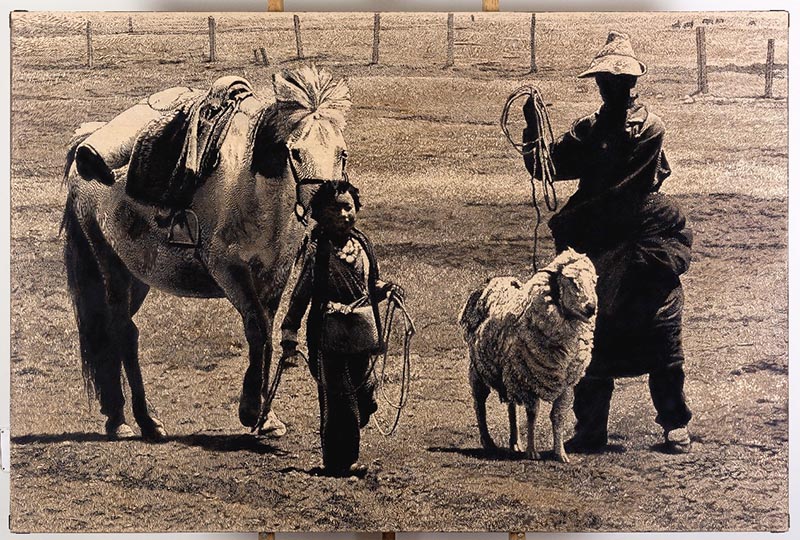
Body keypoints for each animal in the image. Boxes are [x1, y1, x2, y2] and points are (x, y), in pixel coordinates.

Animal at [62, 65, 350, 440]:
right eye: (296, 152)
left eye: (342, 153)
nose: (329, 208)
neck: (256, 190)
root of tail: (83, 149)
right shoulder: (229, 270)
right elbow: (257, 330)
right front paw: (252, 411)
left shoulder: (276, 272)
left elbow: (266, 334)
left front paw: (266, 416)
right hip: (109, 265)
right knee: (120, 329)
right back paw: (137, 421)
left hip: (136, 274)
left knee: (120, 330)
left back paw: (122, 417)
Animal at [460, 249, 596, 464]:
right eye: (571, 281)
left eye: (593, 281)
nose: (591, 308)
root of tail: (497, 281)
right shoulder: (528, 380)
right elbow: (532, 414)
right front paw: (533, 452)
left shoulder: (566, 384)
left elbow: (558, 417)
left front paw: (560, 453)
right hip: (480, 369)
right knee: (479, 403)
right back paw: (488, 441)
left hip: (509, 373)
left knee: (511, 406)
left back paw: (515, 443)